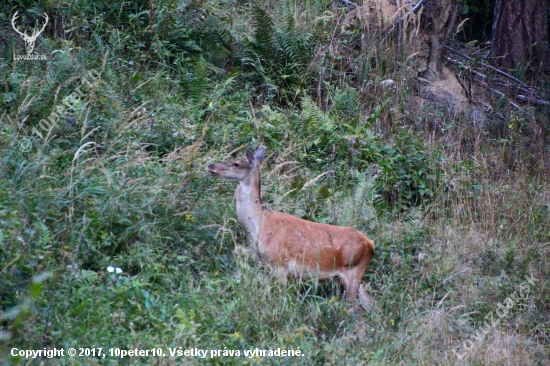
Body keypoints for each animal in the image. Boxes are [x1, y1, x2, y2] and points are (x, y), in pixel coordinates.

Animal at [209, 146, 378, 308]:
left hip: (352, 270)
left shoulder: (280, 264)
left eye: (236, 163)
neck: (259, 225)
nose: (210, 165)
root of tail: (370, 244)